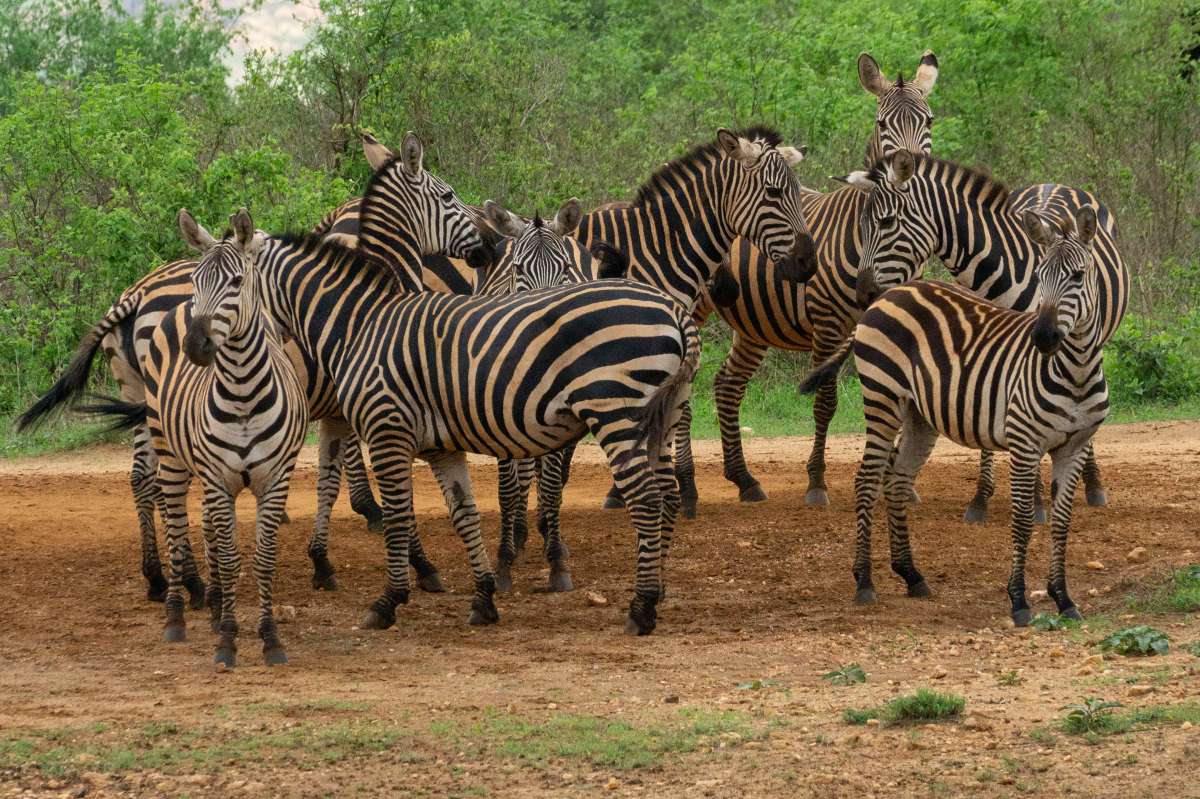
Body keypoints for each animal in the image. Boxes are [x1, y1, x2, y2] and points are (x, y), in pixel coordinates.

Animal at [88, 208, 309, 666]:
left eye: (237, 281)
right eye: (197, 282)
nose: (195, 345)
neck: (243, 393)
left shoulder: (274, 480)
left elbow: (262, 559)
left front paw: (269, 638)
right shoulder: (219, 479)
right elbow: (228, 558)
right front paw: (226, 639)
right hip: (168, 450)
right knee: (171, 515)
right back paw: (175, 606)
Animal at [679, 51, 939, 514]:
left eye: (928, 121)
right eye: (881, 124)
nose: (908, 169)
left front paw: (897, 481)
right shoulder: (828, 324)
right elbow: (825, 403)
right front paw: (817, 483)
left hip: (754, 324)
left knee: (727, 385)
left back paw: (744, 479)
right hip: (696, 305)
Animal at [801, 206, 1108, 626]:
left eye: (1078, 276)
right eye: (1041, 276)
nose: (1042, 338)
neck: (1075, 372)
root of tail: (888, 294)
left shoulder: (1074, 448)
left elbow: (1062, 523)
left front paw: (1064, 599)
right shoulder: (1025, 444)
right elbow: (1023, 520)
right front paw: (1019, 601)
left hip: (918, 416)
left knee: (897, 481)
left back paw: (911, 575)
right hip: (883, 397)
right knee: (866, 480)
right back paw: (864, 581)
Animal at [837, 151, 1128, 522]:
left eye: (887, 222)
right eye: (861, 226)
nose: (863, 295)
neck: (999, 276)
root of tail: (1055, 184)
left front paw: (1036, 503)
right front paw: (981, 498)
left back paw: (1092, 484)